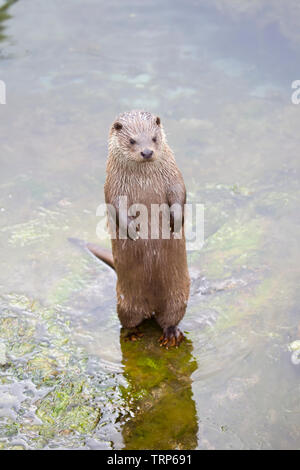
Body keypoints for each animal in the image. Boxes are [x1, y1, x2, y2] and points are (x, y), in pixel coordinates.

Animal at [88, 109, 190, 346]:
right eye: (132, 140)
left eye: (153, 138)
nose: (146, 152)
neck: (144, 180)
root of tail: (151, 306)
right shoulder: (113, 185)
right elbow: (115, 205)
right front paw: (132, 230)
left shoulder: (174, 175)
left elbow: (180, 193)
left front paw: (175, 221)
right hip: (126, 300)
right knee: (128, 319)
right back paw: (133, 334)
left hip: (178, 294)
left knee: (171, 317)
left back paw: (171, 335)